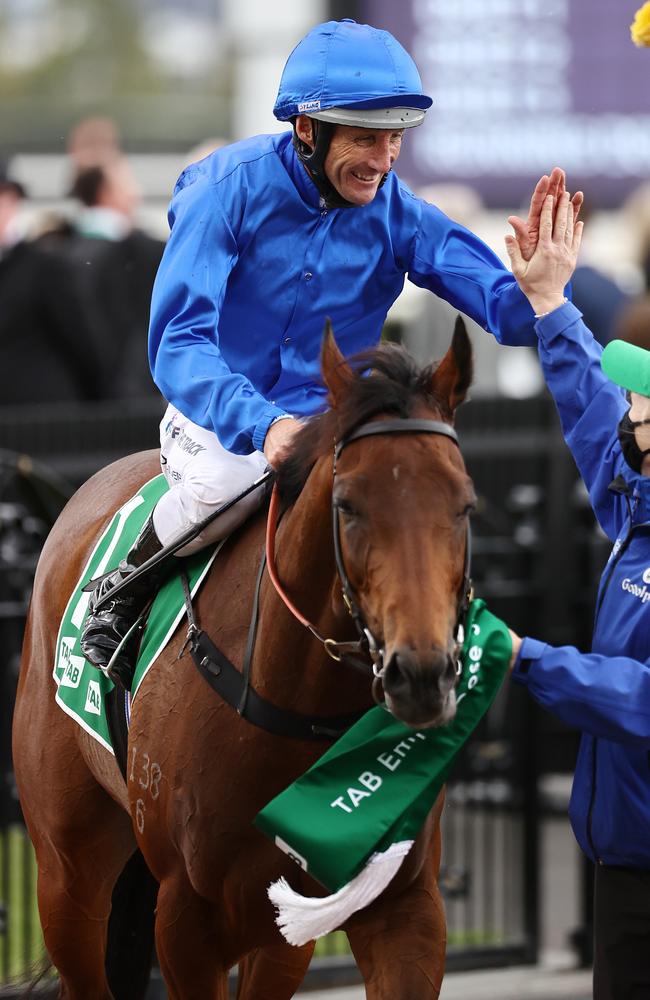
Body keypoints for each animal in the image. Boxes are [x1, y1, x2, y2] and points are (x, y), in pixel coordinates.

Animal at [12, 322, 474, 1000]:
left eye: (465, 504)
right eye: (347, 505)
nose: (420, 674)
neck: (298, 710)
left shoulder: (397, 904)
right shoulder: (186, 919)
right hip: (66, 870)